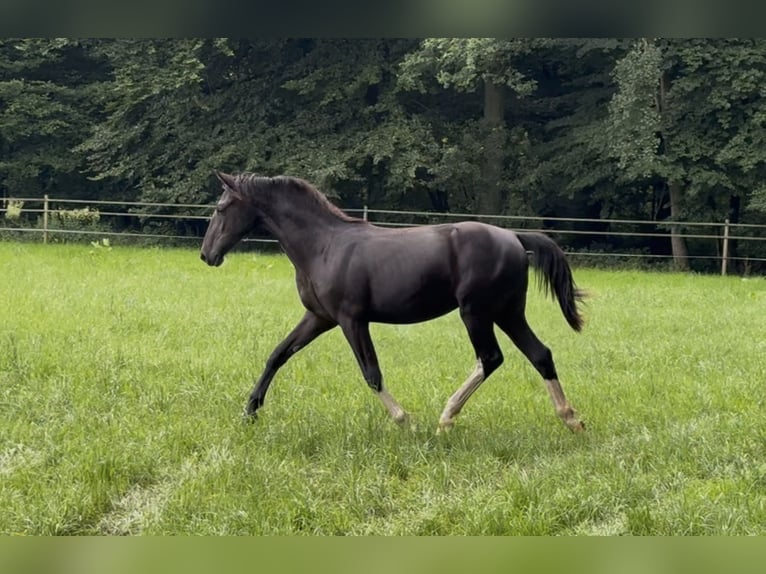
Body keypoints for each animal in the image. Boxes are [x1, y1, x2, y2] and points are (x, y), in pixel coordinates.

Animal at [200, 172, 586, 433]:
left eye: (220, 208)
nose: (207, 255)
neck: (324, 246)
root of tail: (513, 237)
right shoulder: (319, 317)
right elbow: (277, 355)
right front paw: (250, 411)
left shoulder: (351, 319)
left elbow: (371, 373)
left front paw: (405, 421)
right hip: (508, 312)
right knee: (540, 354)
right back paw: (571, 419)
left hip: (476, 313)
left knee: (490, 358)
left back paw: (446, 418)